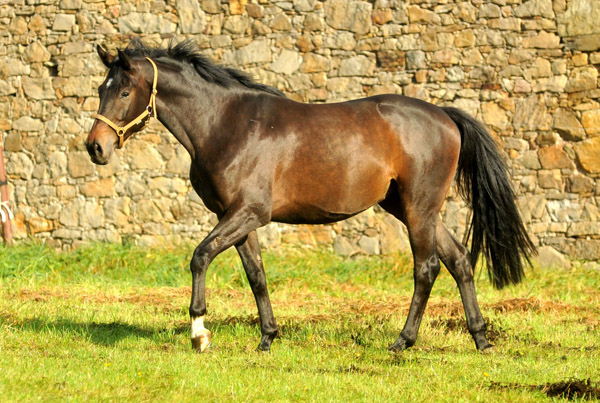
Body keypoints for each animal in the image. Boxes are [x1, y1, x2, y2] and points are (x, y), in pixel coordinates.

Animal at [83, 38, 536, 354]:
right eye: (102, 89)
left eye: (124, 92)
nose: (95, 148)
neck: (227, 124)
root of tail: (445, 116)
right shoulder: (236, 217)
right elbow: (256, 276)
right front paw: (267, 338)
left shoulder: (248, 212)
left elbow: (200, 256)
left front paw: (199, 333)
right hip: (411, 208)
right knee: (459, 260)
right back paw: (480, 338)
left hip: (418, 208)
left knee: (426, 268)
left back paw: (402, 342)